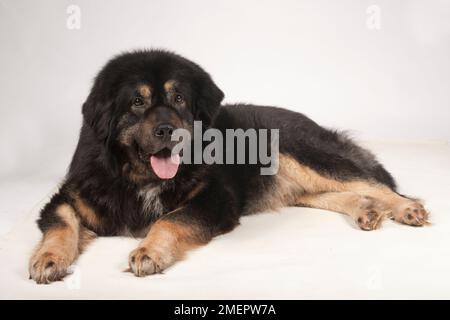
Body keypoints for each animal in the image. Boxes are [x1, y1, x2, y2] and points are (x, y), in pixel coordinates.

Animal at [28, 50, 428, 284]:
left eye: (178, 98)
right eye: (136, 103)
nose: (167, 130)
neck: (137, 176)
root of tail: (307, 118)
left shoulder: (215, 199)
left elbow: (169, 220)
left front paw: (149, 251)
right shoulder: (69, 195)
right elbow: (61, 223)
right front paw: (47, 258)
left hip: (306, 154)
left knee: (373, 182)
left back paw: (406, 208)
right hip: (294, 185)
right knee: (340, 193)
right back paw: (366, 211)